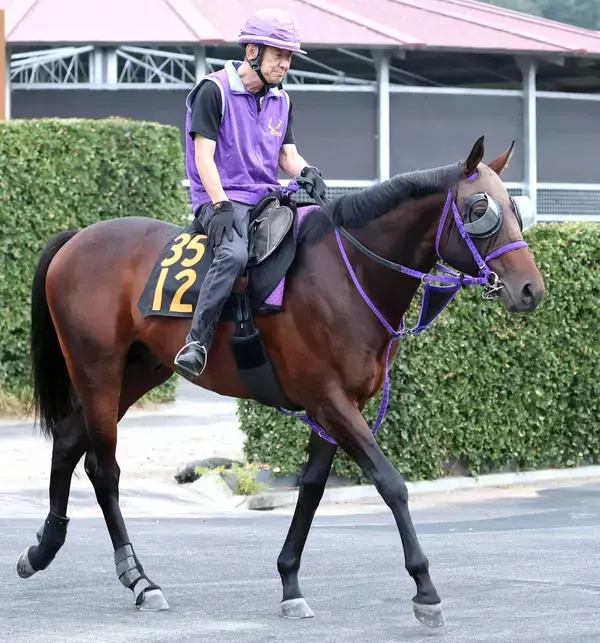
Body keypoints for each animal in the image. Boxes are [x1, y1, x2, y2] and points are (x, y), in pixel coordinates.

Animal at [16, 135, 544, 628]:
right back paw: (140, 580)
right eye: (480, 210)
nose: (531, 290)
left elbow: (311, 488)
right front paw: (426, 590)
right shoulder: (331, 401)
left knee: (69, 441)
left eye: (515, 208)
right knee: (103, 468)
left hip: (139, 370)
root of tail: (76, 239)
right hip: (97, 371)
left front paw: (290, 581)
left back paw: (43, 548)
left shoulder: (335, 406)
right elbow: (390, 484)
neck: (345, 275)